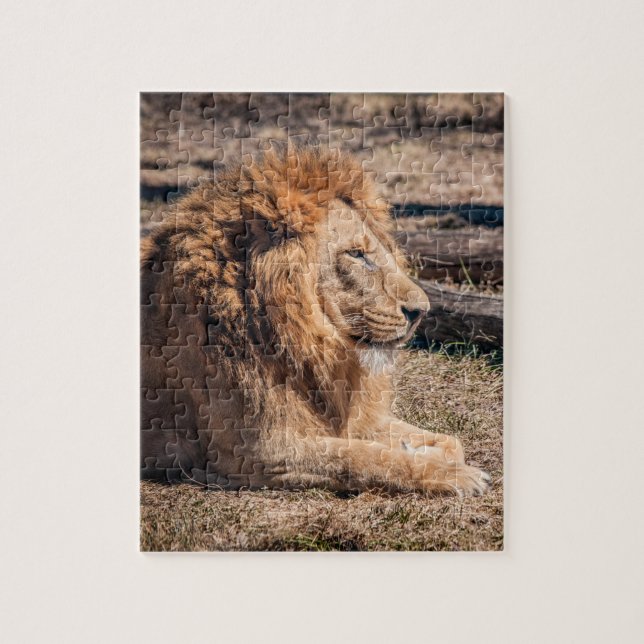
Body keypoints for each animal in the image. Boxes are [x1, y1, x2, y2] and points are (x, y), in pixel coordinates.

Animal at [141, 143, 490, 495]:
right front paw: (449, 473)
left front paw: (420, 450)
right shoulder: (257, 452)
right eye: (356, 254)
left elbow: (451, 442)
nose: (421, 312)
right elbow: (362, 458)